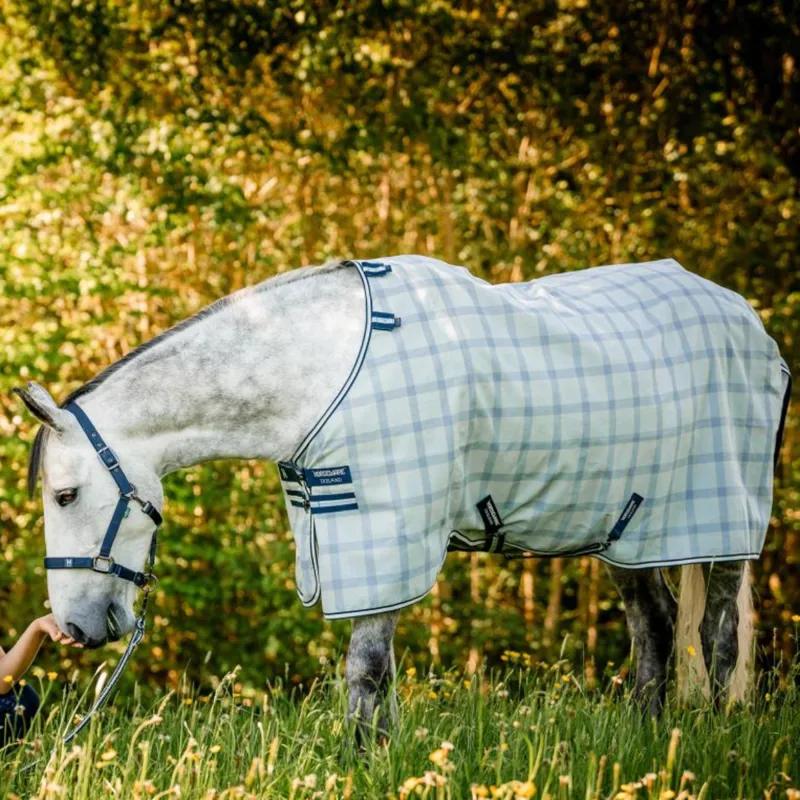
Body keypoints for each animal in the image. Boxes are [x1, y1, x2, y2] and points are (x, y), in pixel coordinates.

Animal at [15, 255, 790, 737]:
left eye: (65, 494)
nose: (75, 626)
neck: (318, 366)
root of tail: (749, 320)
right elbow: (377, 675)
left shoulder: (383, 528)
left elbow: (365, 669)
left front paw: (363, 760)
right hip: (629, 528)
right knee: (654, 628)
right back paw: (646, 740)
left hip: (721, 524)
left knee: (718, 639)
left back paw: (710, 740)